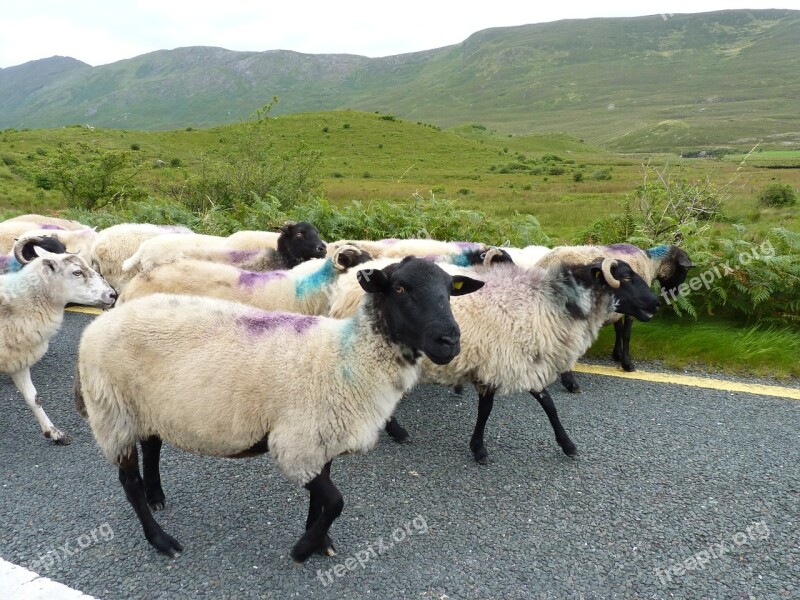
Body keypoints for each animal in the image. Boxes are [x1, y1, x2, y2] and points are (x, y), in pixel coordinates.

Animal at [75, 258, 484, 564]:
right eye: (399, 288)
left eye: (449, 291)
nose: (450, 341)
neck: (347, 357)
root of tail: (103, 320)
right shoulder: (295, 444)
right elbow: (335, 501)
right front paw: (303, 549)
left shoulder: (321, 439)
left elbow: (322, 500)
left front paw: (318, 541)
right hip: (113, 412)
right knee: (128, 483)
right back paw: (160, 539)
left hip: (146, 406)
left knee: (153, 445)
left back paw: (156, 494)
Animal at [324, 255, 656, 462]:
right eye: (627, 276)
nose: (656, 303)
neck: (553, 302)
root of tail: (348, 281)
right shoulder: (501, 361)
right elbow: (488, 410)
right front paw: (479, 450)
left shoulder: (520, 360)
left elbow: (547, 403)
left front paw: (568, 444)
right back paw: (396, 431)